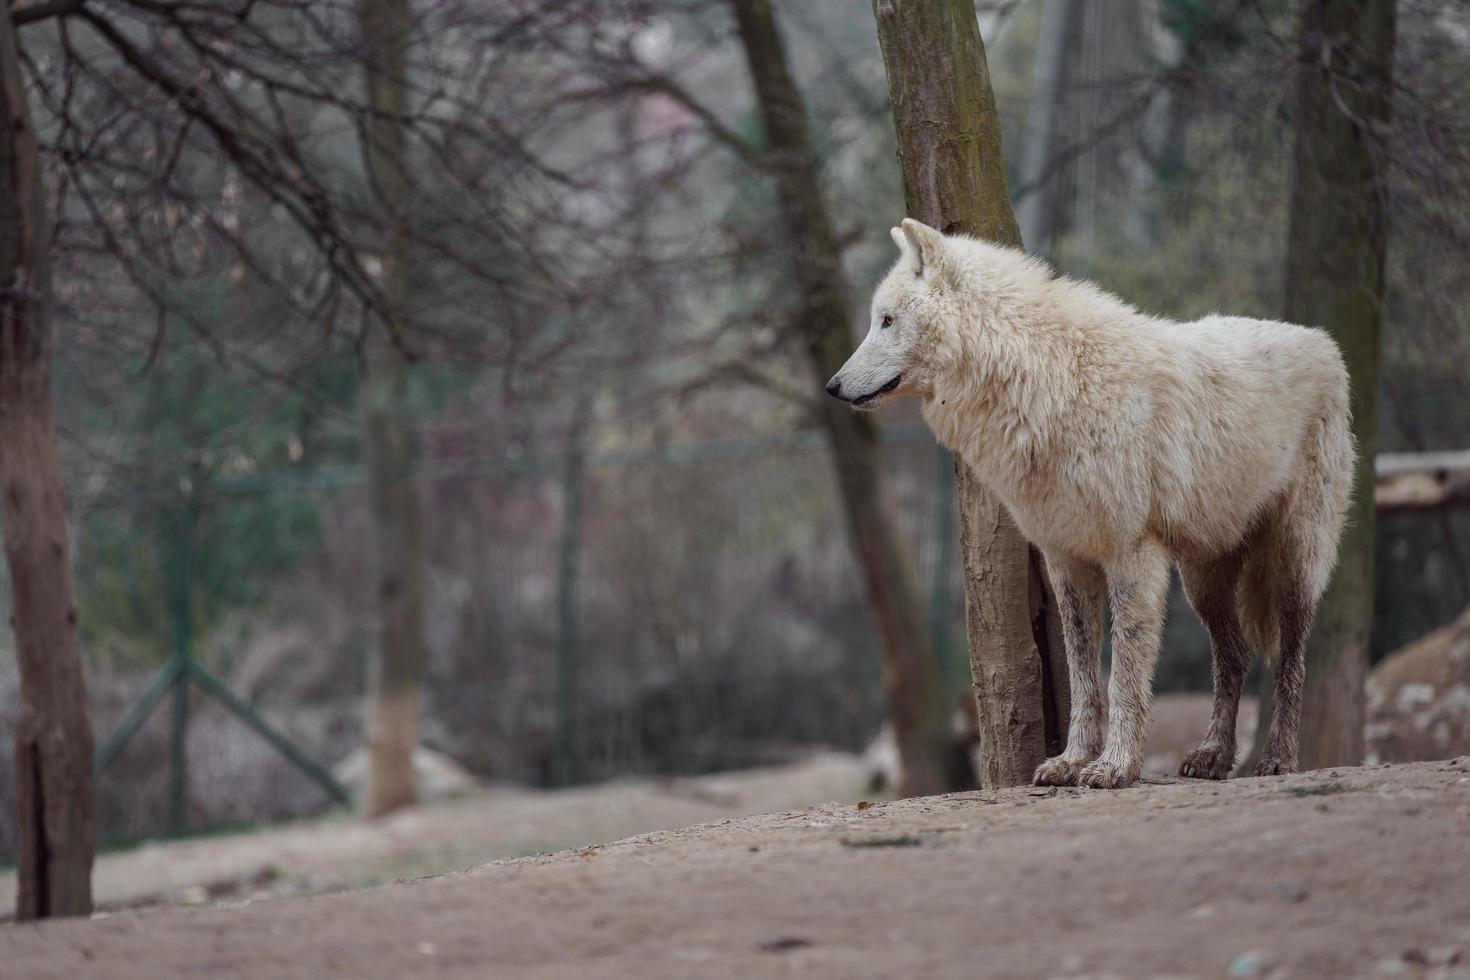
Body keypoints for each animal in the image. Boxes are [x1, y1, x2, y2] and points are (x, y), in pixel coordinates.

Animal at [829, 220, 1352, 787]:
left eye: (886, 321)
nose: (832, 387)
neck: (1043, 381)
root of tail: (1321, 340)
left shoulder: (1133, 555)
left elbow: (1123, 673)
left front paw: (1115, 766)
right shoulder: (1066, 560)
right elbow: (1083, 676)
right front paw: (1072, 760)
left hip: (1293, 560)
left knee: (1292, 659)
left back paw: (1279, 758)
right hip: (1204, 578)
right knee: (1234, 654)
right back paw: (1212, 756)